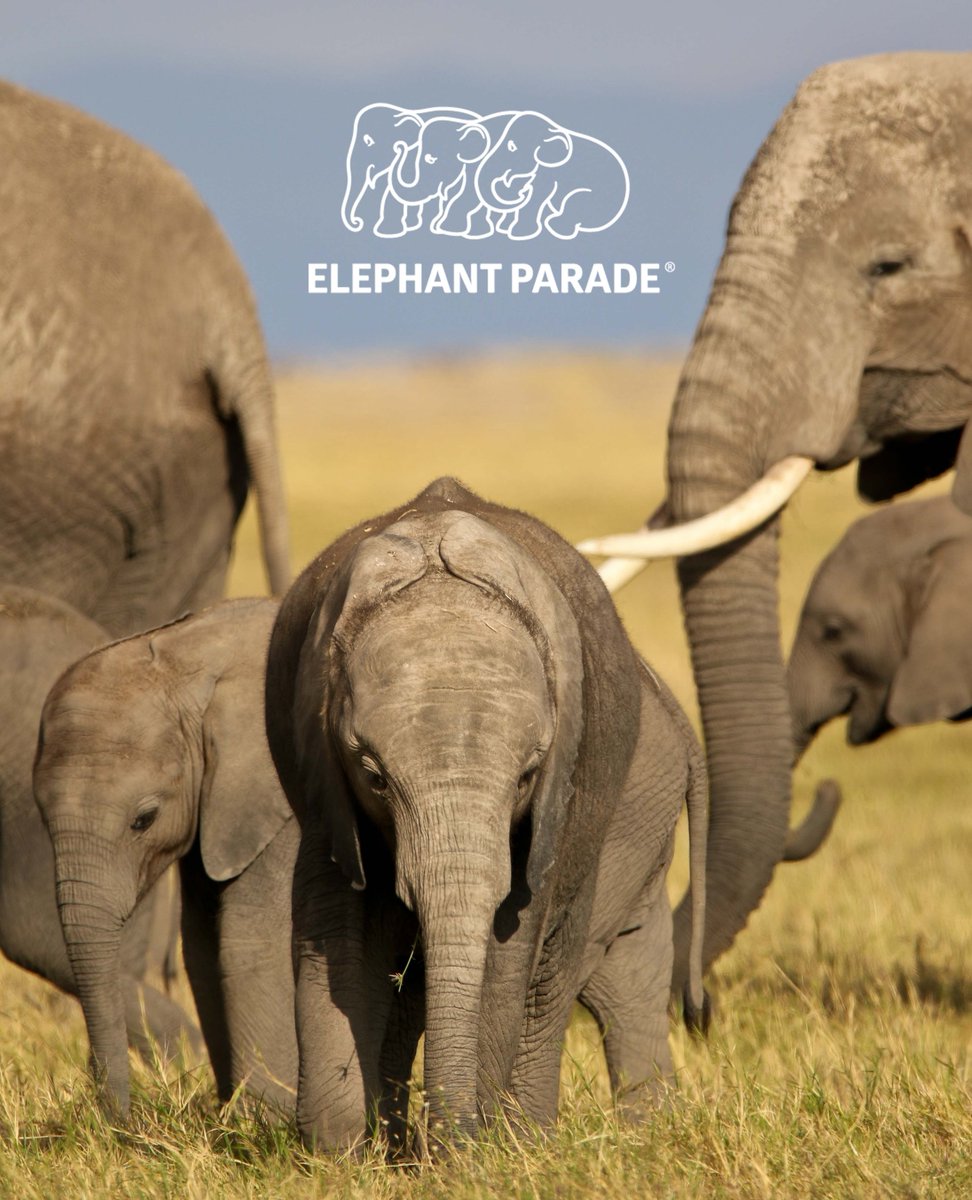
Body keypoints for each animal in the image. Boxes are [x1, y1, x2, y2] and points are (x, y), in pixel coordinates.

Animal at [33, 597, 299, 1118]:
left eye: (144, 819)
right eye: (40, 816)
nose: (120, 1123)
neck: (183, 656)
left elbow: (252, 935)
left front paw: (265, 1122)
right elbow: (200, 943)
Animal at [265, 477, 706, 1152]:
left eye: (526, 776)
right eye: (373, 776)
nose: (452, 1140)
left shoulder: (555, 800)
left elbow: (509, 944)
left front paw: (476, 1154)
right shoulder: (323, 784)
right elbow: (341, 938)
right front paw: (340, 1155)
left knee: (570, 973)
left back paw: (534, 1139)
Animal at [472, 111, 630, 241]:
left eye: (512, 147)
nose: (521, 193)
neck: (551, 128)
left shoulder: (550, 171)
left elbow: (538, 195)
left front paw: (519, 233)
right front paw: (505, 227)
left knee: (575, 202)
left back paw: (555, 225)